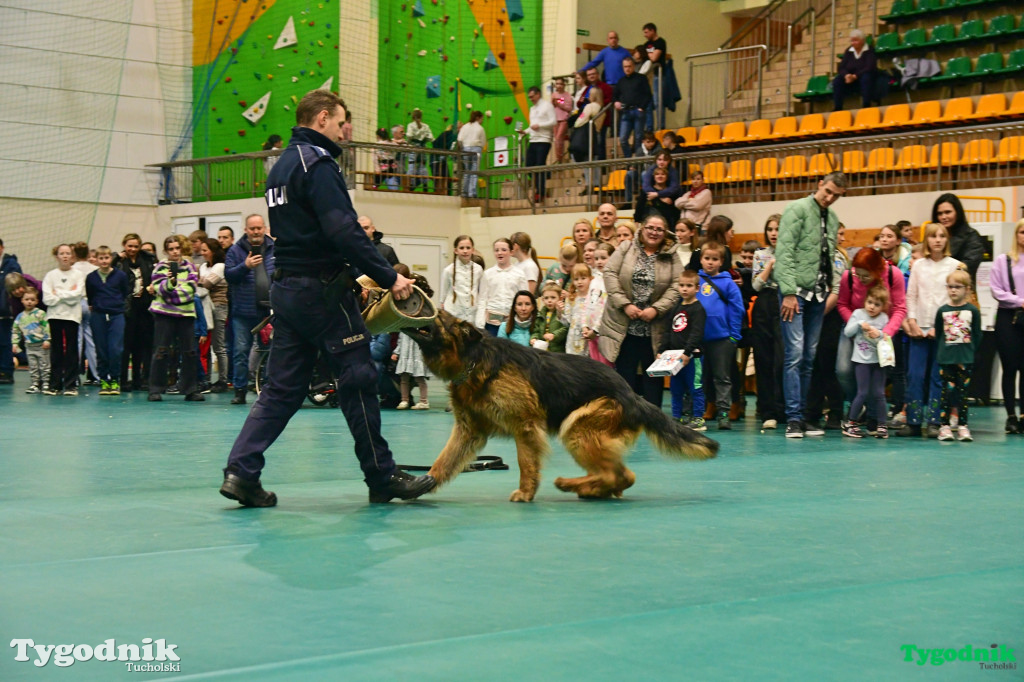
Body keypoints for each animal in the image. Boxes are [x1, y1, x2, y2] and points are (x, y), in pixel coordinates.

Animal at [401, 309, 720, 499]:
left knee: (621, 475)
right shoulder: (469, 432)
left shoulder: (525, 427)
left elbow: (526, 463)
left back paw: (571, 484)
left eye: (437, 316)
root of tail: (632, 394)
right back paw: (590, 489)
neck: (474, 360)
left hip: (576, 430)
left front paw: (526, 493)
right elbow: (443, 461)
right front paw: (423, 483)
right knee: (620, 477)